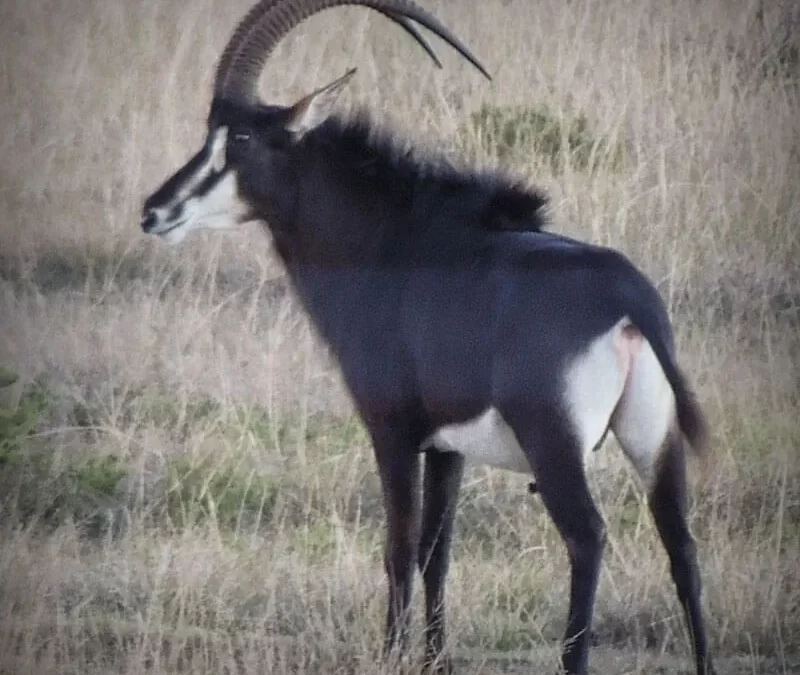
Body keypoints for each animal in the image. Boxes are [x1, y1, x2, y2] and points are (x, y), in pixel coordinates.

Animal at [141, 2, 716, 672]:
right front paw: (432, 660)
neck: (391, 241)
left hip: (554, 443)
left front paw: (390, 655)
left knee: (588, 537)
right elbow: (436, 553)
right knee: (682, 548)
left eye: (241, 139)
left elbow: (399, 547)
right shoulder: (447, 448)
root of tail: (628, 301)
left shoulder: (392, 431)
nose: (155, 211)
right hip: (656, 441)